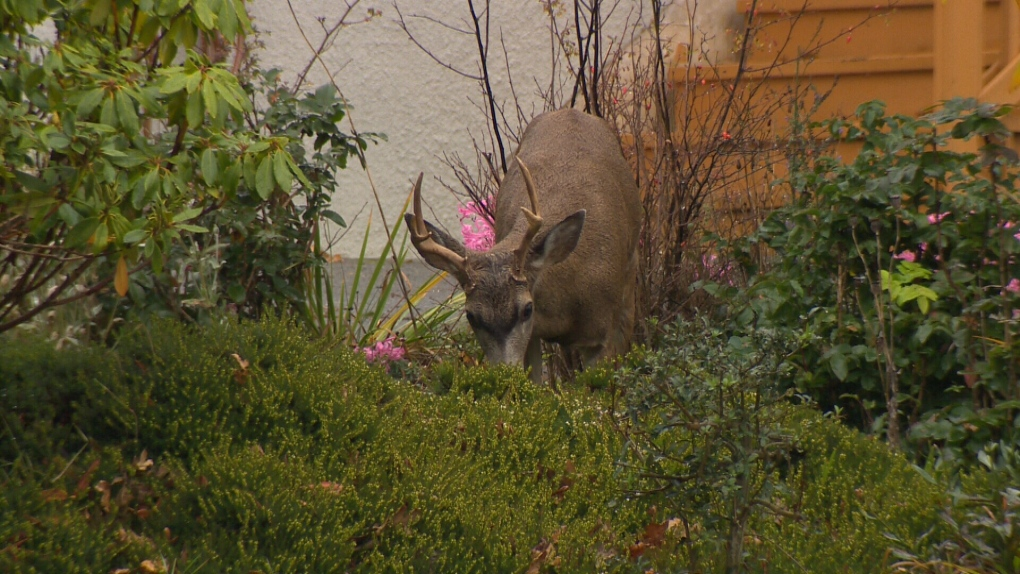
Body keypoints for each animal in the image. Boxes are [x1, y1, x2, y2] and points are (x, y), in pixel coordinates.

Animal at [403, 109, 636, 385]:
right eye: (471, 316)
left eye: (527, 309)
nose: (503, 376)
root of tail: (570, 111)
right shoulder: (532, 335)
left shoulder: (604, 334)